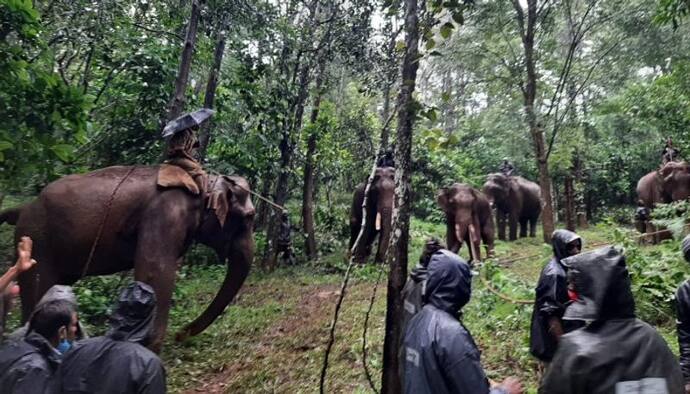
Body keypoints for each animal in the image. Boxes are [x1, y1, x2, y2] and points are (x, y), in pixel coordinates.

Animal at [0, 165, 254, 352]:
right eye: (249, 217)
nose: (181, 334)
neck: (202, 182)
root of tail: (22, 208)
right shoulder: (164, 214)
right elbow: (155, 273)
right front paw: (150, 348)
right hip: (37, 239)